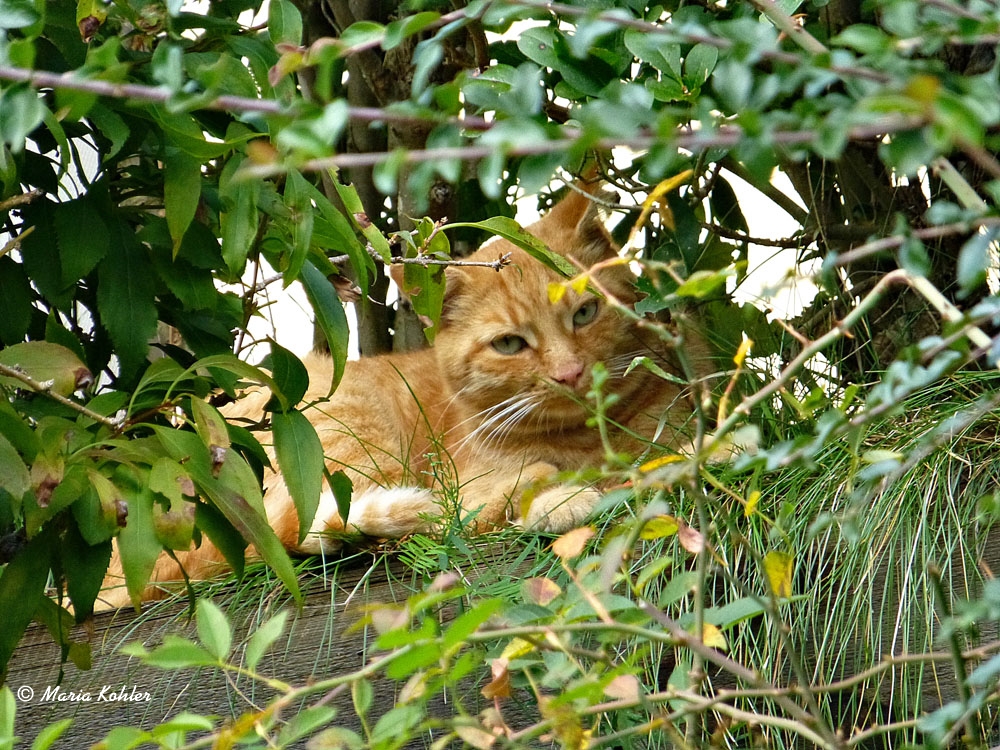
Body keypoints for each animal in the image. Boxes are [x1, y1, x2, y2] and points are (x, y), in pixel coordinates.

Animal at [103, 185, 704, 608]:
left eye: (585, 313)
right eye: (510, 344)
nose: (571, 372)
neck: (590, 440)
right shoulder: (471, 479)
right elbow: (500, 502)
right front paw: (563, 491)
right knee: (328, 526)